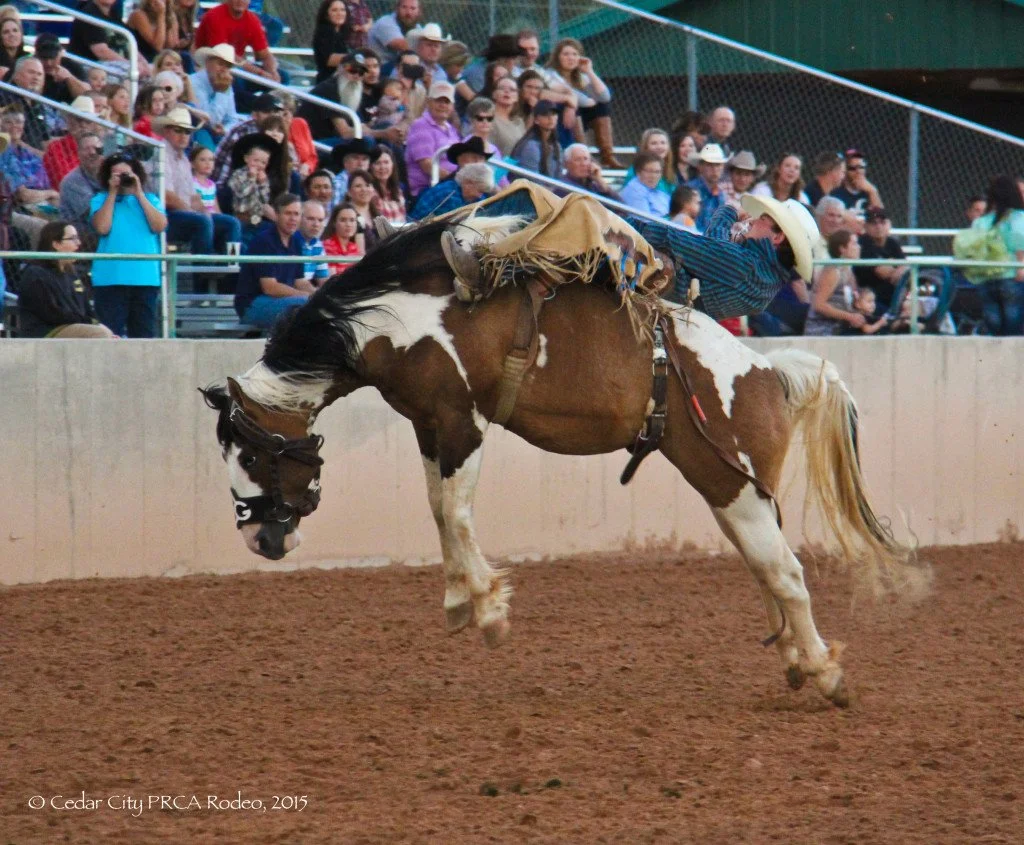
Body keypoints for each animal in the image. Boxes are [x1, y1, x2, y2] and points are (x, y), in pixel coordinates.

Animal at [201, 213, 910, 708]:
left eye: (254, 453)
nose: (259, 539)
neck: (395, 318)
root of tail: (770, 372)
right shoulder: (431, 426)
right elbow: (438, 509)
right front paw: (459, 598)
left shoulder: (462, 421)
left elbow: (455, 511)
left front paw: (488, 609)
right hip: (730, 490)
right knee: (769, 570)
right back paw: (797, 660)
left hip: (734, 487)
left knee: (787, 572)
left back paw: (826, 672)